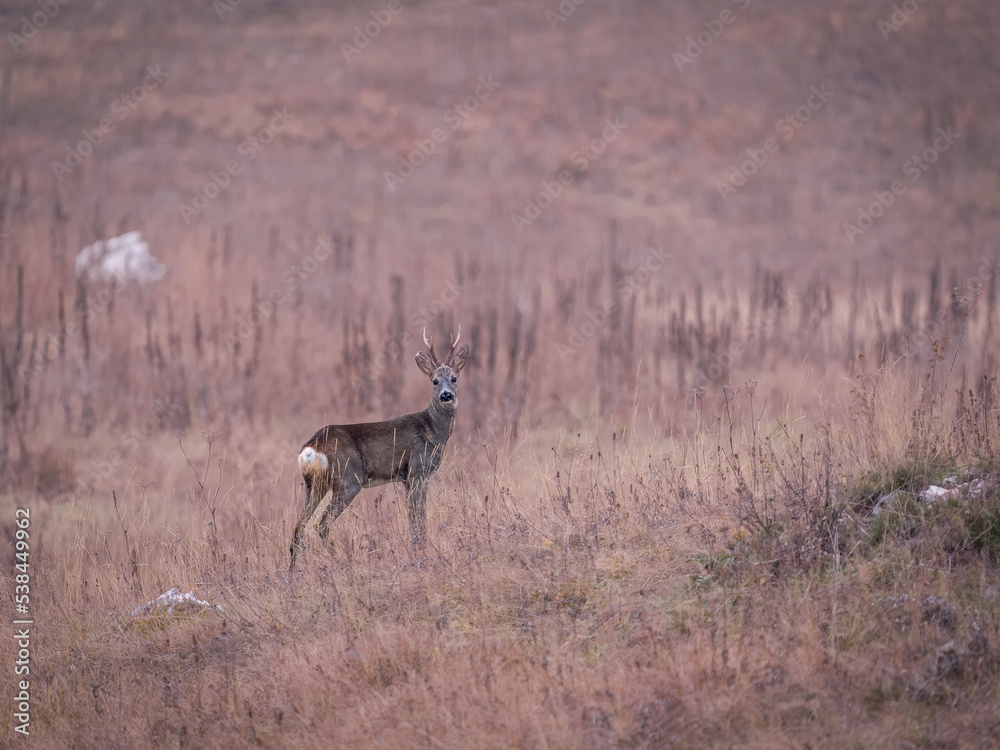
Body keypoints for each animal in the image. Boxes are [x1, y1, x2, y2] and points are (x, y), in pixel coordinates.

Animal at [290, 328, 470, 568]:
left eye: (454, 378)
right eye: (434, 381)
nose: (446, 395)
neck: (432, 429)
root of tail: (311, 448)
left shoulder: (405, 479)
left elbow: (412, 518)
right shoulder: (418, 471)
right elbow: (419, 517)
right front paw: (422, 552)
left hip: (314, 485)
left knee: (299, 525)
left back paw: (292, 571)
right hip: (348, 481)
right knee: (321, 523)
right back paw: (341, 561)